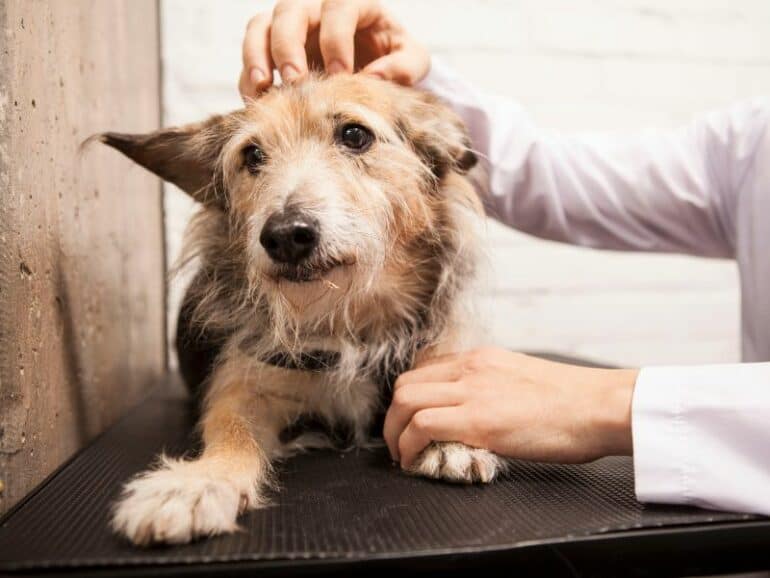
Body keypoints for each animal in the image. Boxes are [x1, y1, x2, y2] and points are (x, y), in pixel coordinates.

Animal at [97, 73, 504, 544]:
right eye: (252, 154)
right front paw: (197, 484)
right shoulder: (246, 384)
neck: (350, 317)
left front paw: (451, 440)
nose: (286, 235)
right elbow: (232, 432)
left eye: (355, 135)